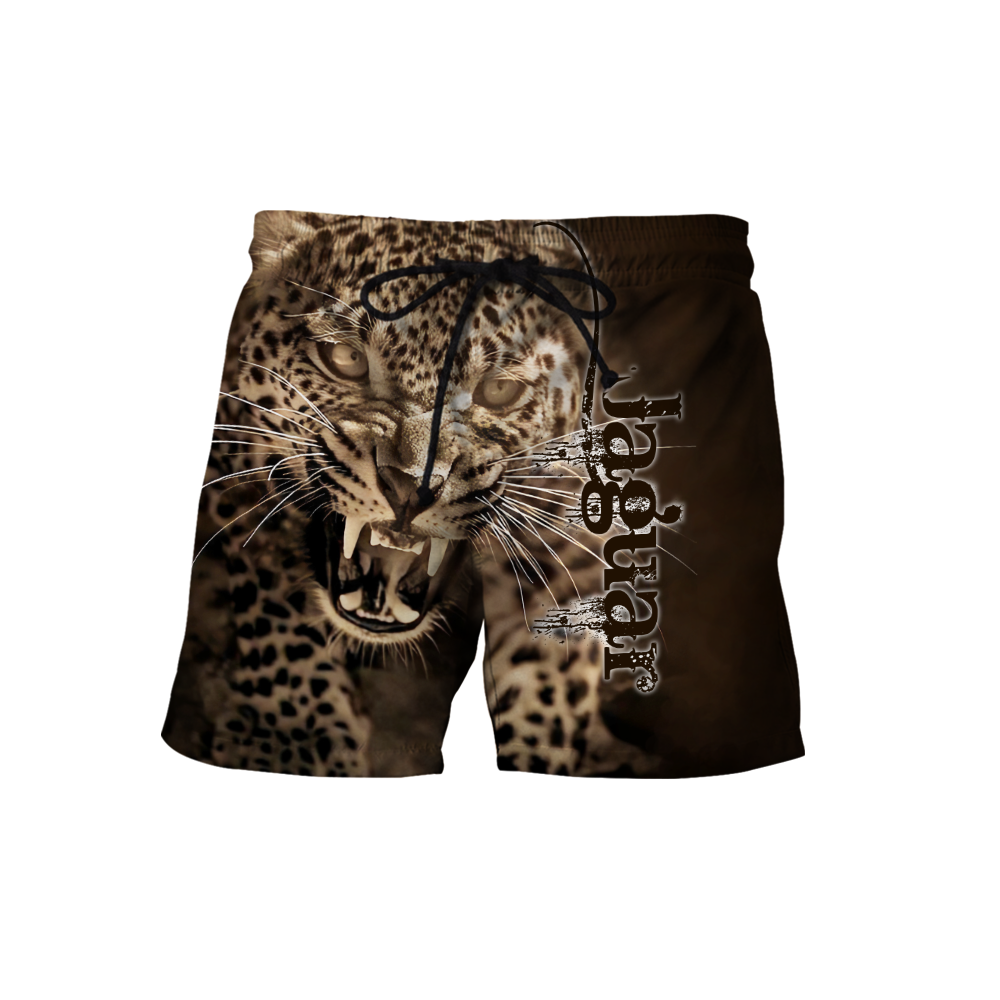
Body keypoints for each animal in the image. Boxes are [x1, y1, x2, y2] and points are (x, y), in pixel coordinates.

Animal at [163, 210, 661, 778]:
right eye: (345, 358)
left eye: (498, 391)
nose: (410, 487)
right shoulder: (235, 463)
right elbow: (274, 605)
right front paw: (294, 737)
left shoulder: (573, 534)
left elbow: (551, 670)